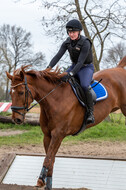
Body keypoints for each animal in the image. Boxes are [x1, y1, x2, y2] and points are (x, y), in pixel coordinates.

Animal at [6, 56, 126, 190]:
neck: (55, 99)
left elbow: (48, 158)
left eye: (21, 92)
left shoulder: (58, 135)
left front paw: (40, 180)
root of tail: (119, 68)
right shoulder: (47, 136)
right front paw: (48, 184)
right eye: (10, 93)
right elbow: (51, 159)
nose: (16, 119)